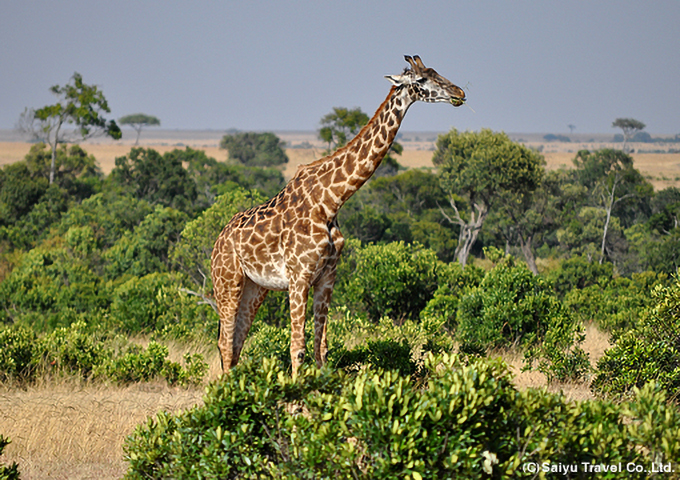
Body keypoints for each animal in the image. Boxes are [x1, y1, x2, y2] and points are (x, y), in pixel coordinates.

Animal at [212, 54, 468, 374]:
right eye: (421, 79)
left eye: (437, 72)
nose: (460, 93)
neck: (331, 202)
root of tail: (217, 240)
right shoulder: (299, 277)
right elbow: (298, 348)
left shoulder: (327, 277)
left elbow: (321, 349)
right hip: (227, 281)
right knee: (224, 342)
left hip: (255, 288)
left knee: (236, 343)